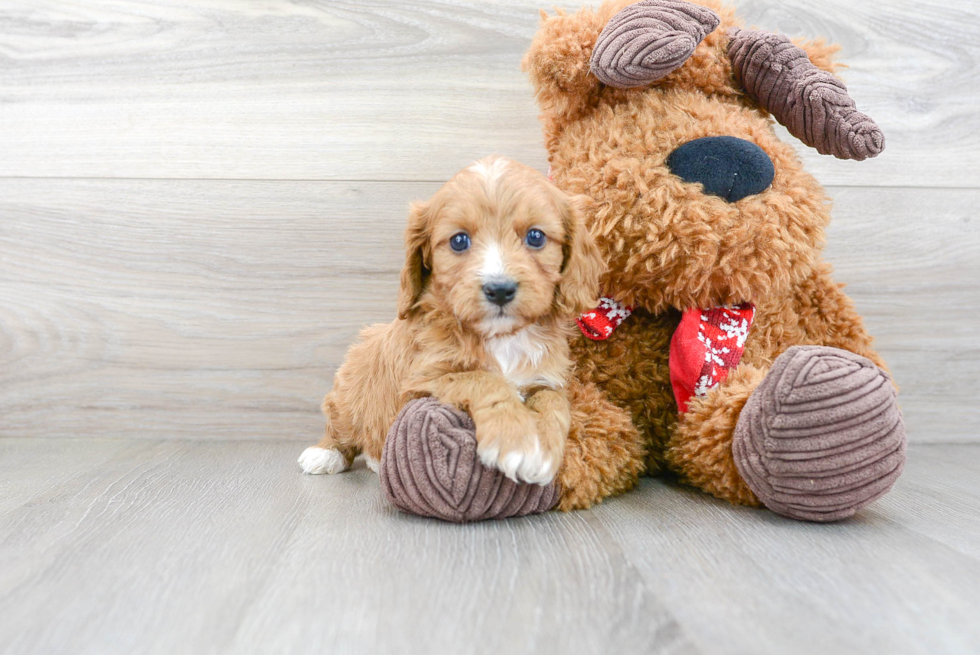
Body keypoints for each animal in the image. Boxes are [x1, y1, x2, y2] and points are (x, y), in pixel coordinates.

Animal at [298, 158, 604, 486]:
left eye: (536, 237)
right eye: (459, 241)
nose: (500, 289)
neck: (501, 337)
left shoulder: (545, 378)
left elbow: (554, 403)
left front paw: (543, 451)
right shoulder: (421, 381)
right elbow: (483, 379)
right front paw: (515, 443)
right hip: (350, 389)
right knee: (342, 425)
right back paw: (326, 453)